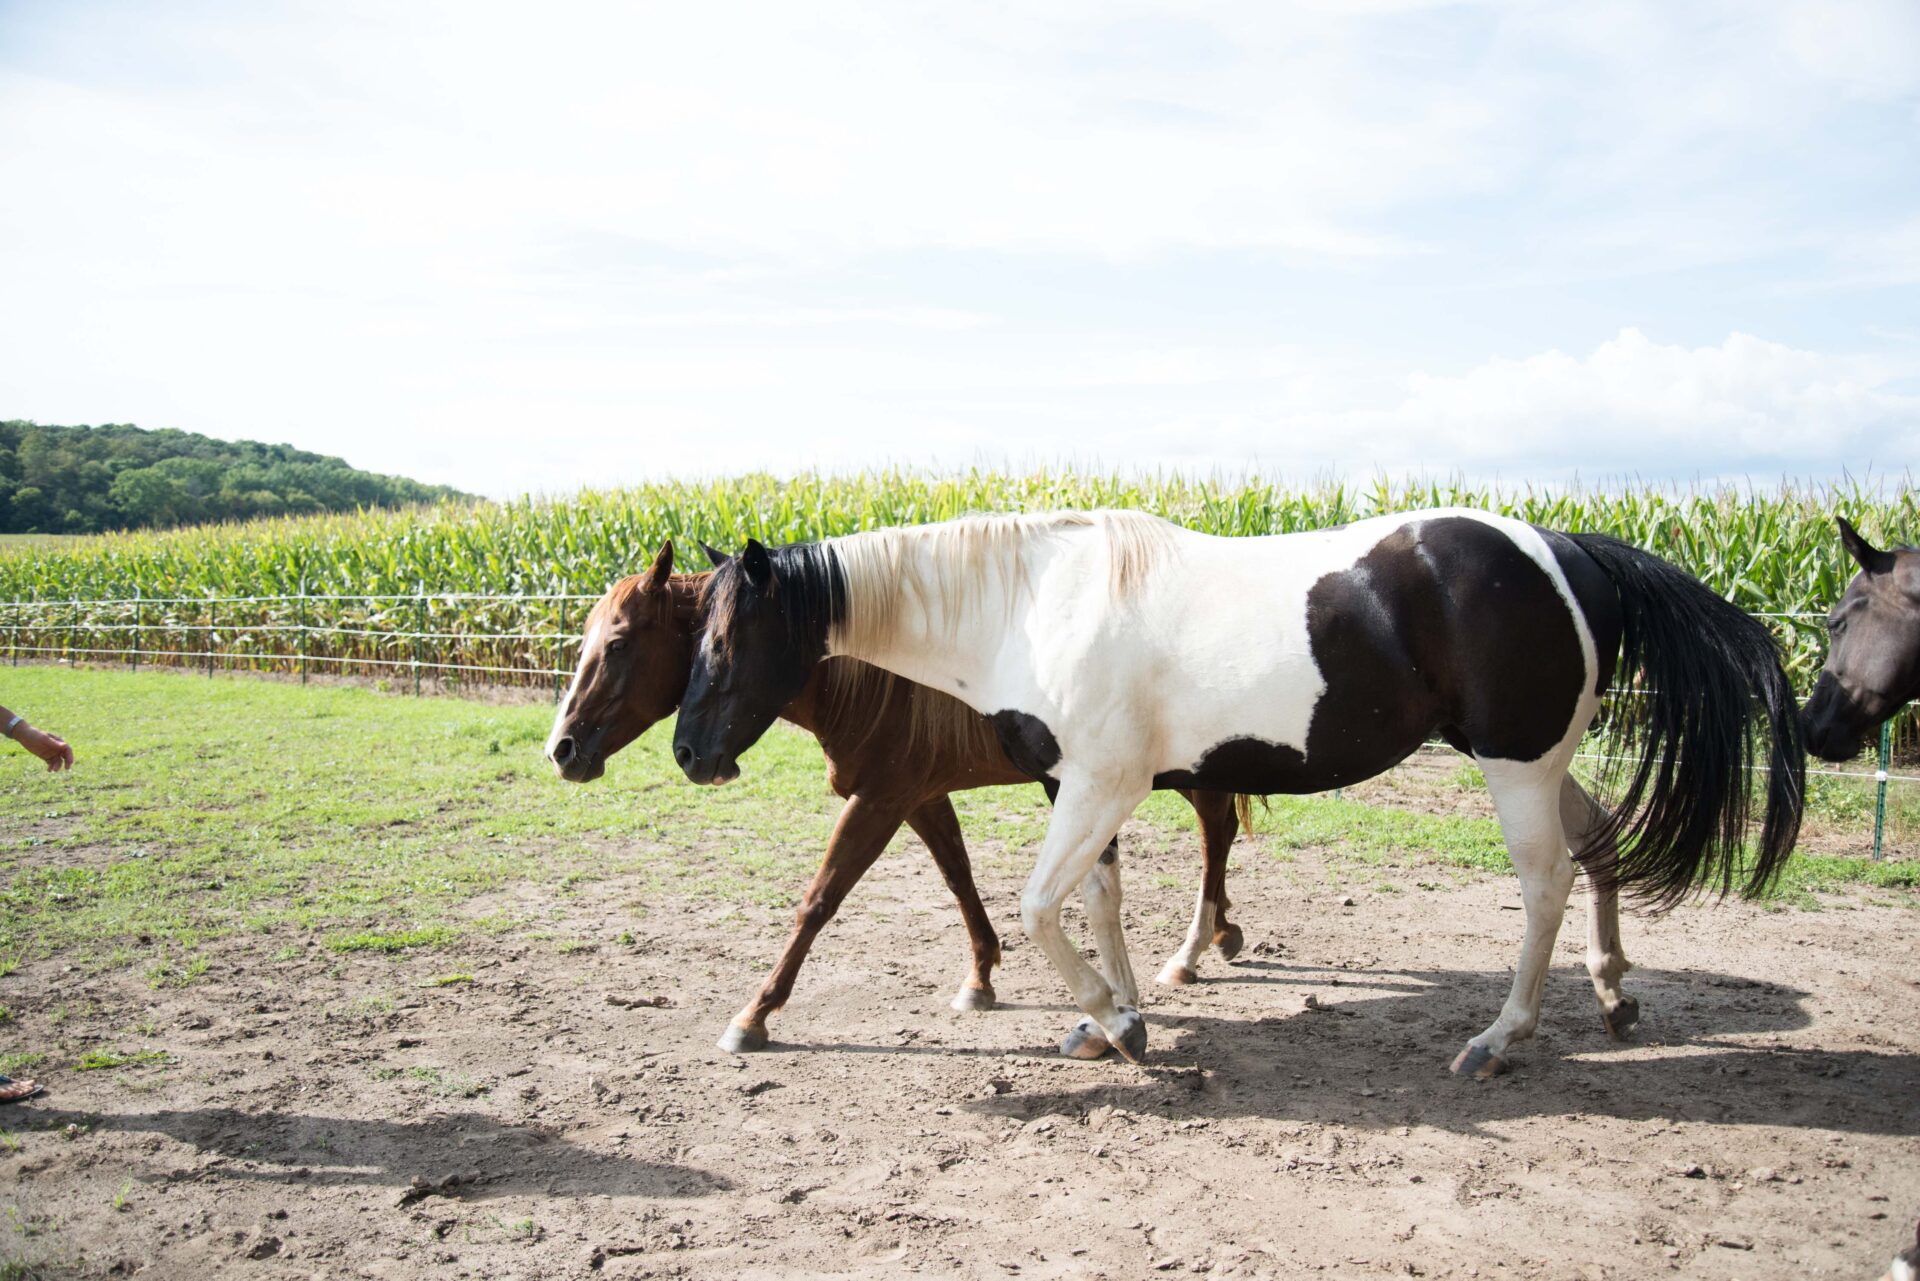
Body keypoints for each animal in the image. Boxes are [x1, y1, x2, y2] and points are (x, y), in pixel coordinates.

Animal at [549, 537, 1251, 1052]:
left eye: (618, 644)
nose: (562, 749)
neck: (879, 661)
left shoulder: (882, 798)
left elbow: (819, 900)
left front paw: (755, 1014)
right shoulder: (919, 796)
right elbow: (958, 877)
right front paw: (980, 977)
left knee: (1215, 836)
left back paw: (1195, 949)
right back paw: (1220, 934)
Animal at [672, 507, 1797, 1075]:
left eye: (725, 642)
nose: (688, 754)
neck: (1032, 603)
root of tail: (1566, 548)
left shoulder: (1101, 786)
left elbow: (1038, 909)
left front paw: (1116, 1021)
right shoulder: (1078, 787)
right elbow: (1097, 903)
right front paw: (1116, 1014)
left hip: (1516, 766)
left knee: (1545, 883)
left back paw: (1499, 1037)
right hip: (1544, 761)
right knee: (1598, 849)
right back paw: (1612, 994)